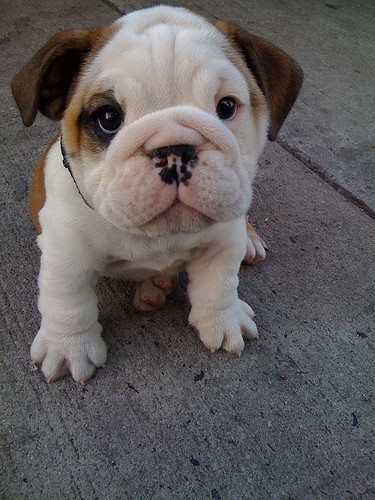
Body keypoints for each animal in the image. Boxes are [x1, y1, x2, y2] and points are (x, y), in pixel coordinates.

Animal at [11, 5, 304, 384]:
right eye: (108, 117)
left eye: (226, 107)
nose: (175, 150)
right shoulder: (66, 250)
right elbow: (67, 298)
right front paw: (68, 346)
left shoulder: (223, 238)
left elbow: (220, 281)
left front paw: (222, 318)